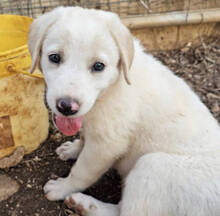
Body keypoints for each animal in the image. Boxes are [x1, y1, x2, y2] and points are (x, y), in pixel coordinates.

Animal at [28, 6, 220, 216]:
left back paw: (85, 203)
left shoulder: (107, 144)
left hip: (151, 166)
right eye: (54, 57)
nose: (67, 106)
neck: (112, 87)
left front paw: (62, 188)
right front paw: (73, 149)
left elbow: (82, 171)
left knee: (126, 212)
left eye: (98, 66)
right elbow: (84, 138)